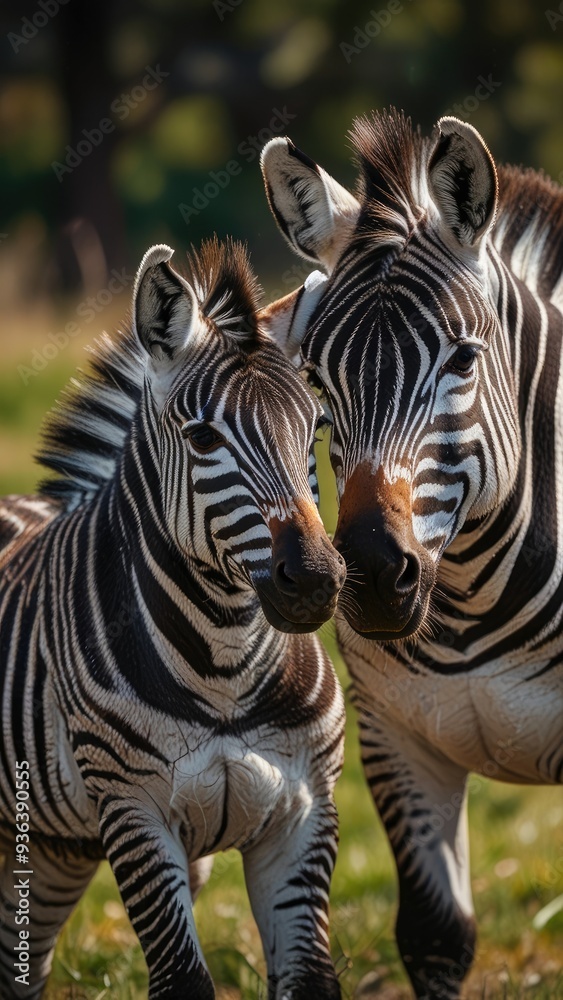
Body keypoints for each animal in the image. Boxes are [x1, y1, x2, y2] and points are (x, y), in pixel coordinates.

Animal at [0, 236, 347, 999]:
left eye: (313, 429)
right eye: (203, 438)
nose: (314, 582)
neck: (227, 667)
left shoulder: (305, 814)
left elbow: (309, 977)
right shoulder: (135, 816)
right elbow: (182, 979)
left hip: (51, 845)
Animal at [260, 110, 563, 997]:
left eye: (461, 359)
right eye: (314, 376)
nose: (367, 576)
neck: (467, 602)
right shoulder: (396, 737)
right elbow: (436, 934)